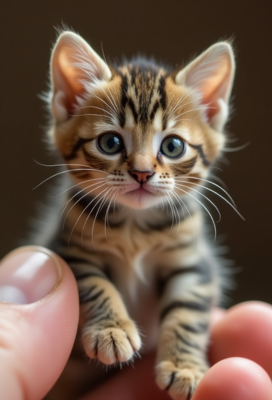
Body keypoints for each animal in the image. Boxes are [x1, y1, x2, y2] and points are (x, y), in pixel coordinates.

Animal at [37, 31, 238, 400]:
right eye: (111, 142)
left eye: (173, 146)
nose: (143, 173)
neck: (135, 226)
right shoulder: (68, 249)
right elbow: (93, 284)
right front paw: (111, 332)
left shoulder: (193, 263)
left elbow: (187, 312)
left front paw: (184, 367)